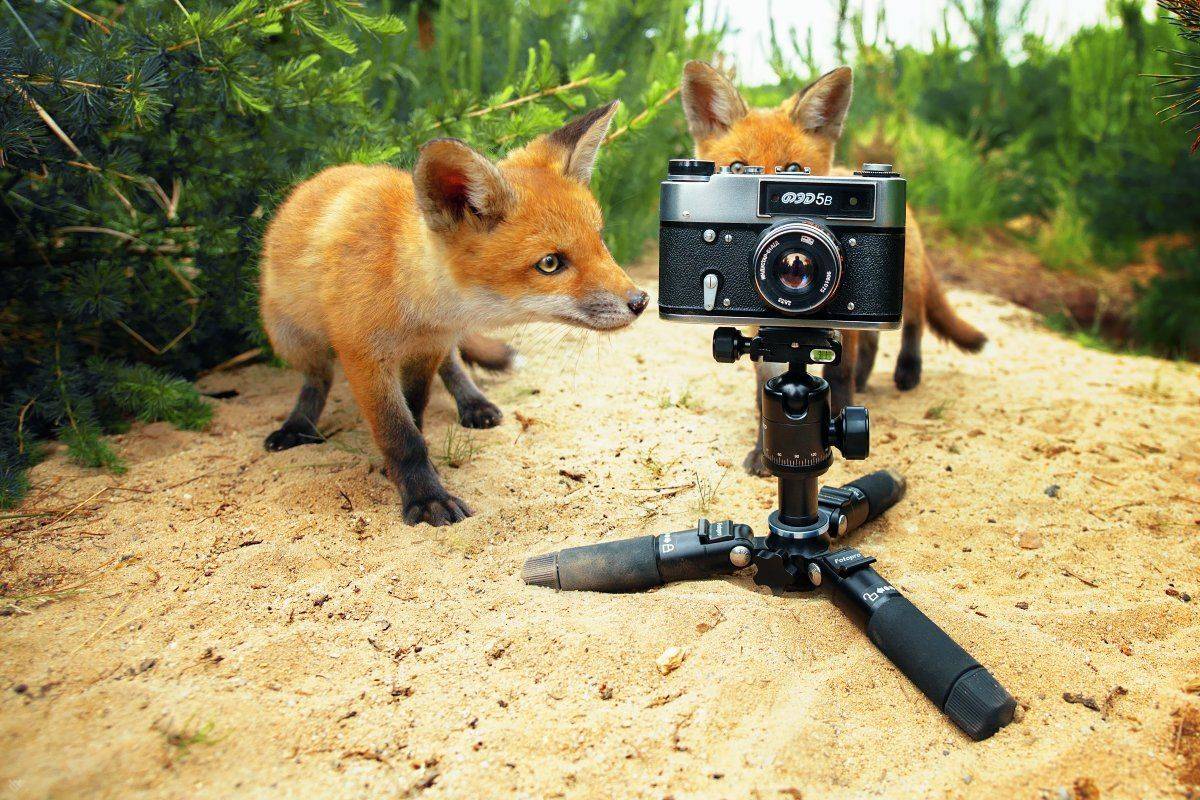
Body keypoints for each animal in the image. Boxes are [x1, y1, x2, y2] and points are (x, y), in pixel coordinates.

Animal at [259, 101, 648, 525]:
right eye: (550, 263)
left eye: (600, 240)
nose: (641, 301)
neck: (406, 294)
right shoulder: (363, 356)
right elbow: (402, 436)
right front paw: (425, 497)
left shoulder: (427, 348)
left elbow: (416, 411)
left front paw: (413, 475)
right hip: (291, 337)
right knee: (318, 378)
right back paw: (299, 423)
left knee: (454, 362)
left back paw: (474, 402)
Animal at [679, 61, 987, 477]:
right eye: (738, 168)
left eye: (795, 169)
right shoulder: (760, 323)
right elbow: (767, 387)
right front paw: (764, 447)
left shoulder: (849, 311)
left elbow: (837, 375)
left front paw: (837, 425)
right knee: (873, 344)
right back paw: (866, 378)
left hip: (904, 288)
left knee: (915, 323)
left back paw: (907, 371)